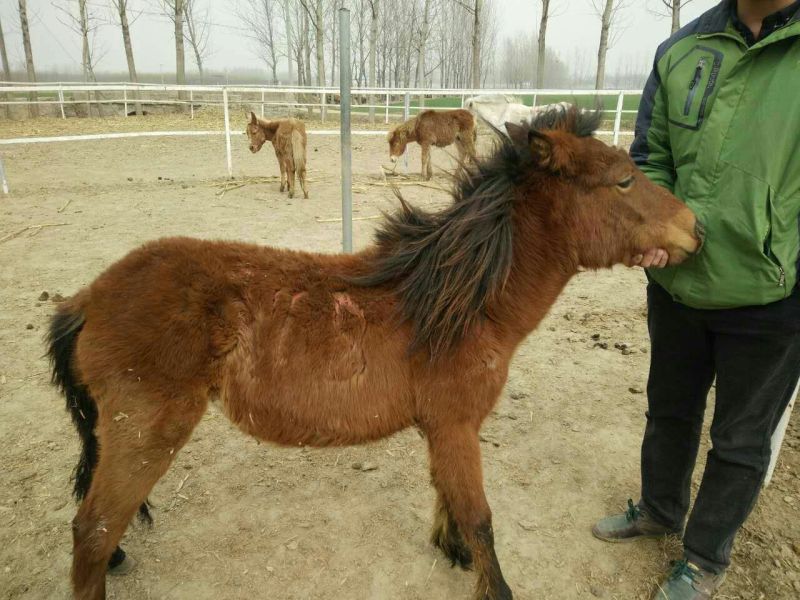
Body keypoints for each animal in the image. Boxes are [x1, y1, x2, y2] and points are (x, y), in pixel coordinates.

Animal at [48, 106, 703, 600]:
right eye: (624, 180)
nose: (695, 229)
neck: (457, 302)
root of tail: (88, 297)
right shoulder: (456, 424)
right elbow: (482, 519)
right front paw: (489, 579)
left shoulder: (444, 428)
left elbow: (449, 497)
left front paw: (451, 550)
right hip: (146, 432)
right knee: (91, 530)